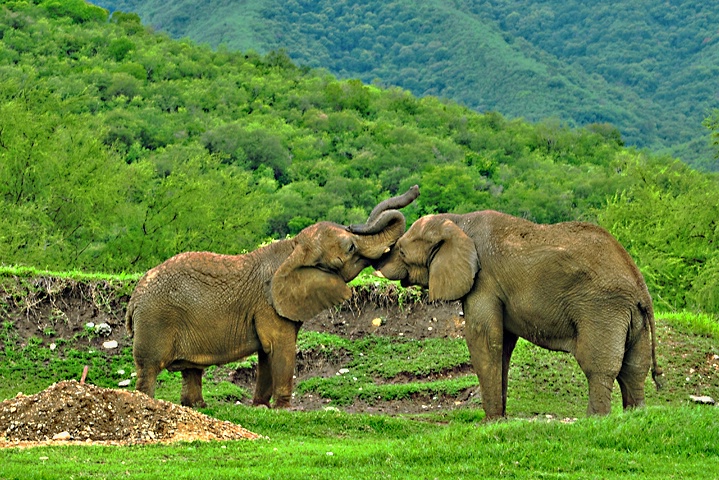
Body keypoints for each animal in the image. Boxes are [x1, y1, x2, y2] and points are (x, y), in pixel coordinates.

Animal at [126, 186, 420, 406]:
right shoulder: (268, 305)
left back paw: (198, 406)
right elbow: (280, 347)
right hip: (156, 319)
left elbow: (266, 354)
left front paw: (261, 407)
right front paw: (283, 409)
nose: (416, 189)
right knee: (148, 369)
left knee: (191, 371)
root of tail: (133, 300)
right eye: (349, 248)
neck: (292, 249)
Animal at [374, 211, 668, 420]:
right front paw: (501, 419)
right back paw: (634, 416)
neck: (457, 221)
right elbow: (502, 343)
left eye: (402, 251)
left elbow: (484, 339)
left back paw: (595, 420)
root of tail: (640, 287)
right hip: (632, 316)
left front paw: (491, 422)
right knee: (634, 368)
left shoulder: (484, 282)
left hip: (602, 309)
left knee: (598, 366)